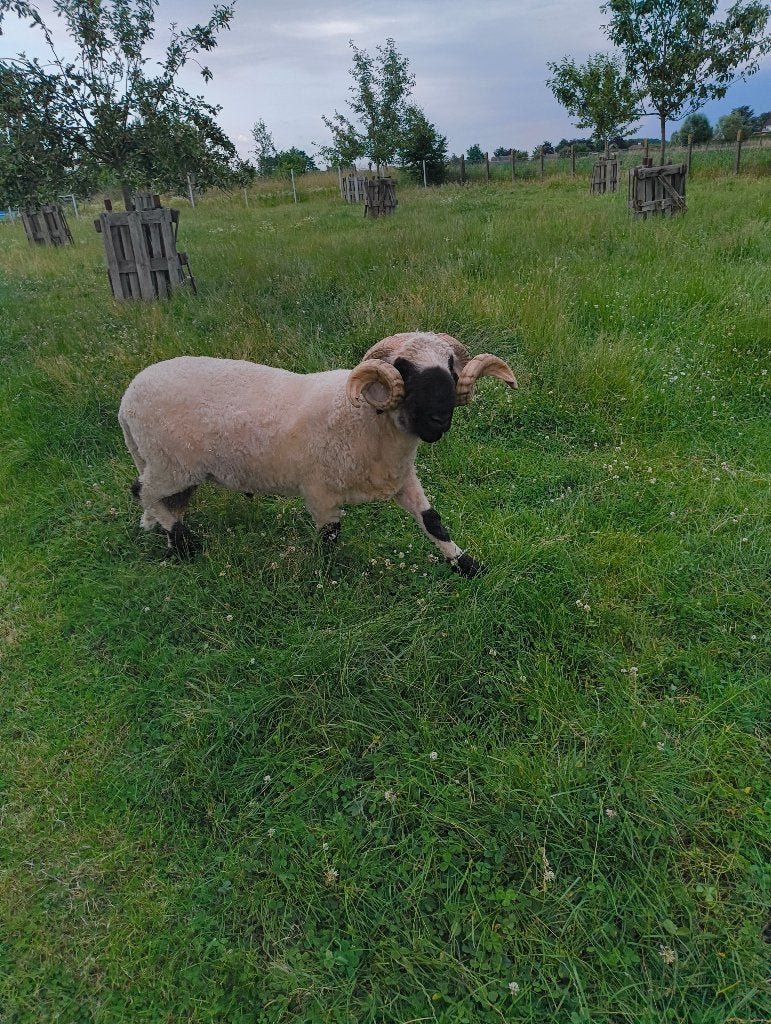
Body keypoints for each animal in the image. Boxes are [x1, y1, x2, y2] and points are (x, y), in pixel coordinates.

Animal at [118, 331, 517, 577]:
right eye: (403, 369)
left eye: (450, 366)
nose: (440, 418)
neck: (365, 421)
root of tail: (127, 400)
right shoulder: (319, 492)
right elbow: (329, 537)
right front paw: (329, 578)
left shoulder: (403, 479)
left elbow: (433, 521)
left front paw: (468, 565)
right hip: (170, 464)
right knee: (142, 492)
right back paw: (183, 544)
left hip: (181, 468)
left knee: (166, 500)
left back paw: (174, 539)